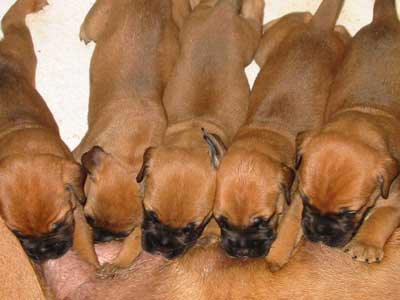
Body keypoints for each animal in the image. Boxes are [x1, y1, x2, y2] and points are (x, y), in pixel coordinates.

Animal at [0, 0, 98, 268]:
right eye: (18, 233)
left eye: (58, 224)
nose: (44, 253)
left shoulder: (76, 211)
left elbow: (85, 246)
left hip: (19, 46)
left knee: (11, 21)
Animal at [73, 0, 183, 268]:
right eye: (89, 219)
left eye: (121, 234)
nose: (100, 239)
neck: (129, 152)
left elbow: (134, 244)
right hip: (97, 21)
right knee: (88, 28)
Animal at [138, 0, 266, 258]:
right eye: (151, 215)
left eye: (192, 228)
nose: (162, 247)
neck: (193, 133)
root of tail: (223, 9)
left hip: (245, 37)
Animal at [214, 0, 348, 262]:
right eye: (222, 221)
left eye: (262, 221)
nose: (242, 251)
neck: (262, 138)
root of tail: (318, 27)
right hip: (267, 47)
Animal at [292, 0, 400, 264]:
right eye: (307, 200)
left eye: (351, 212)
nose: (319, 233)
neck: (363, 113)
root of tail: (384, 20)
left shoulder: (394, 198)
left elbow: (382, 218)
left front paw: (365, 244)